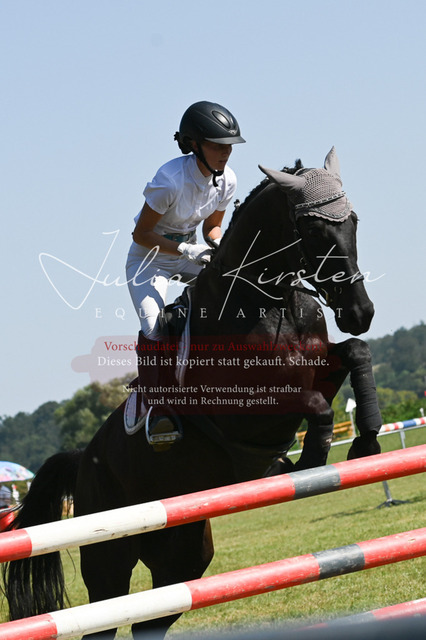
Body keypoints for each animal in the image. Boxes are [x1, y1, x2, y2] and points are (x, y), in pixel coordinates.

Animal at [2, 147, 382, 639]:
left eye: (352, 220)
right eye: (314, 229)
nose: (360, 312)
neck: (269, 300)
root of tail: (84, 458)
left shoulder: (320, 367)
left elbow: (354, 353)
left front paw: (366, 440)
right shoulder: (247, 402)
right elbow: (312, 405)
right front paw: (310, 460)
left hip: (182, 555)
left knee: (153, 617)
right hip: (109, 557)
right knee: (104, 614)